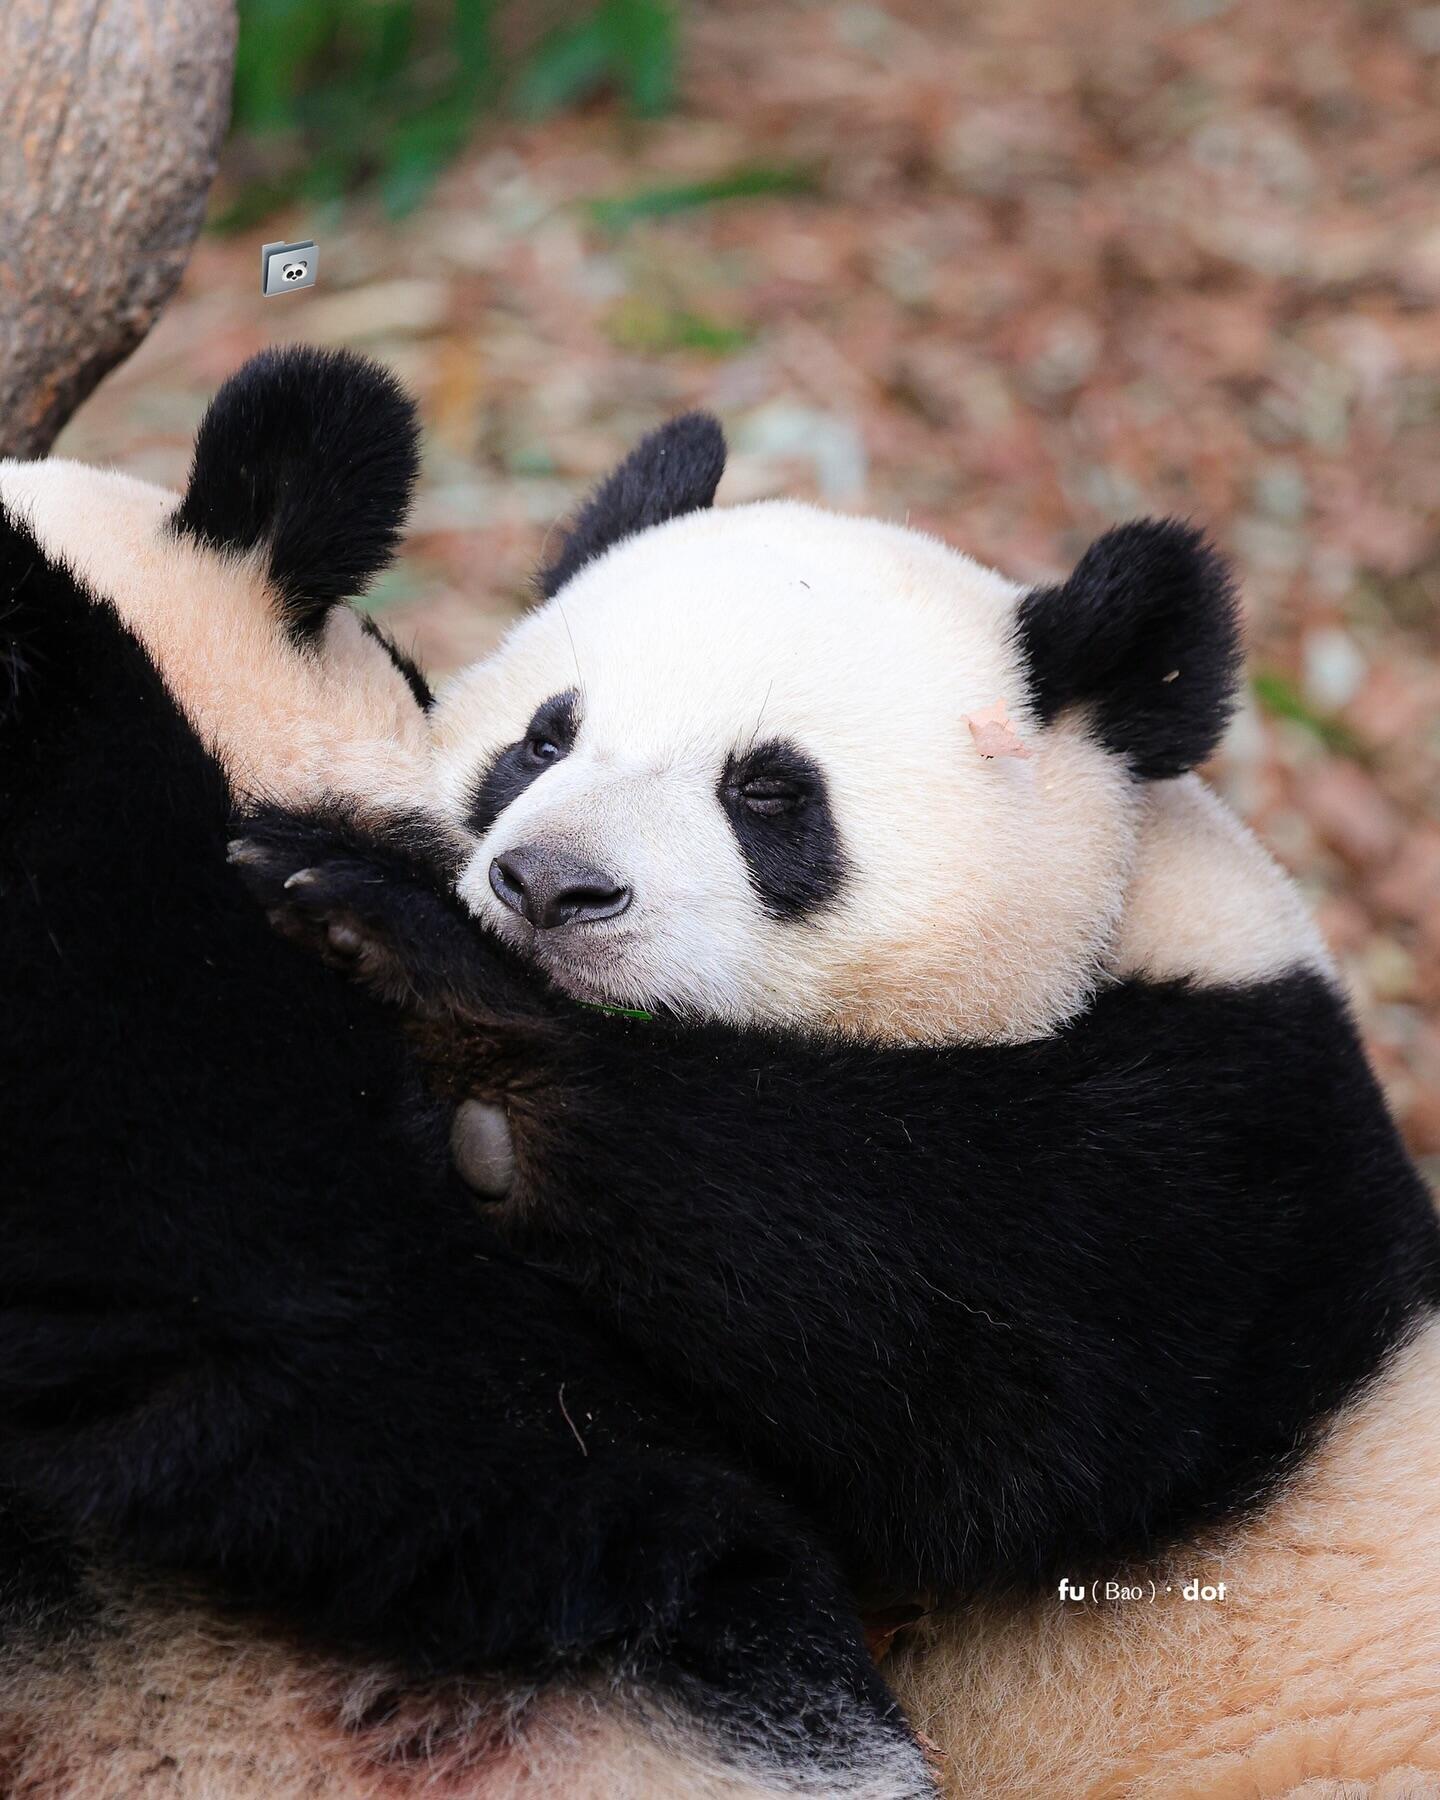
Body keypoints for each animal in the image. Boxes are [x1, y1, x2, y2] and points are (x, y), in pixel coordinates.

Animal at [235, 412, 1440, 1800]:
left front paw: (402, 942)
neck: (1116, 926)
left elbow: (961, 1362)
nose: (549, 887)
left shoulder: (1222, 1182)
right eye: (543, 738)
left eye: (768, 793)